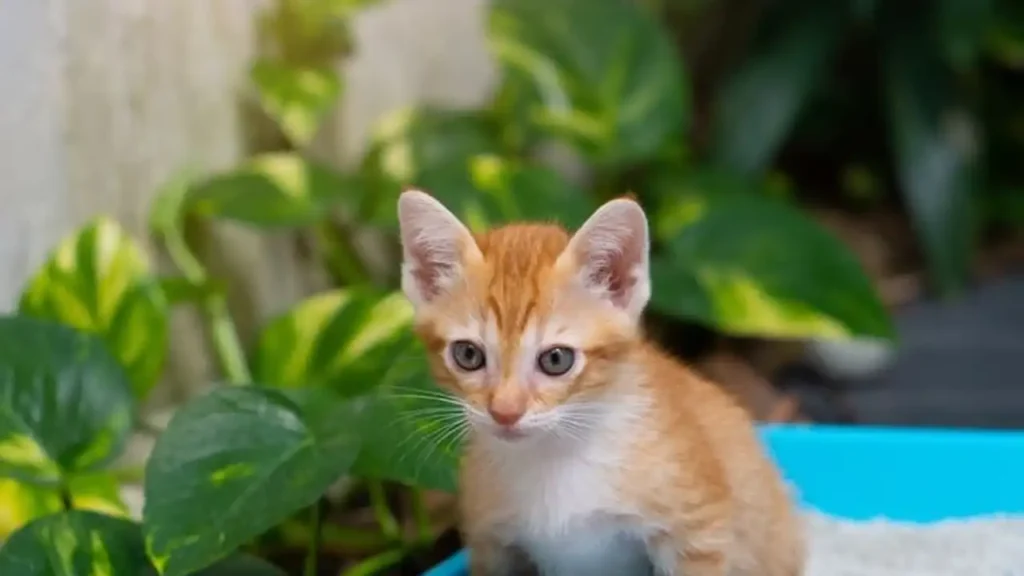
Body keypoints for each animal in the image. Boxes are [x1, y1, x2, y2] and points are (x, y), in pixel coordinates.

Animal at [395, 189, 802, 573]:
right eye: (468, 355)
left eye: (556, 359)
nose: (505, 413)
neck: (556, 454)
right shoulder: (490, 541)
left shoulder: (700, 530)